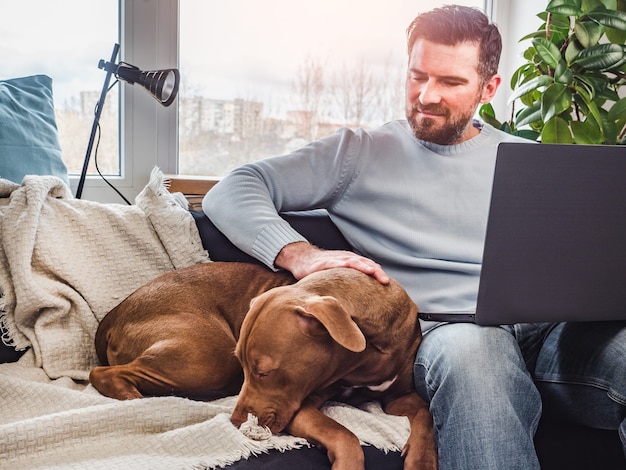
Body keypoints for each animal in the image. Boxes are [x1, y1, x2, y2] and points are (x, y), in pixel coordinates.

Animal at [230, 268, 434, 470]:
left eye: (264, 372)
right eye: (242, 364)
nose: (235, 422)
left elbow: (426, 414)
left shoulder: (402, 397)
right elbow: (342, 433)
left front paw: (422, 462)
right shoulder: (304, 406)